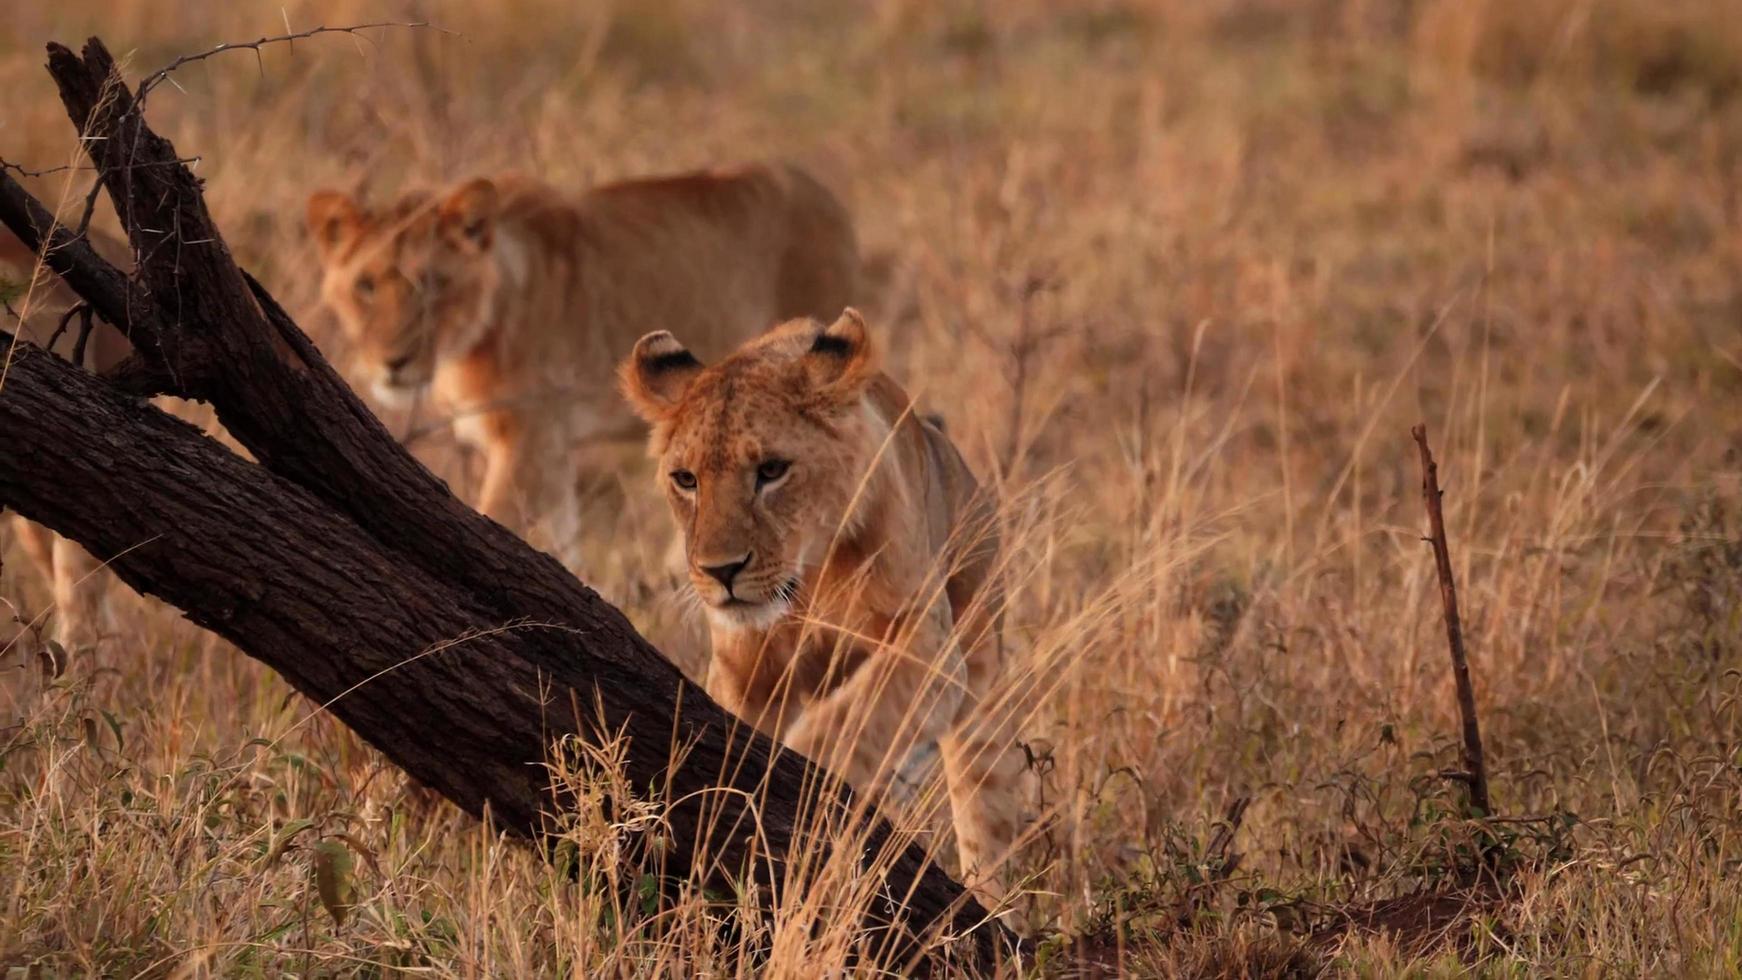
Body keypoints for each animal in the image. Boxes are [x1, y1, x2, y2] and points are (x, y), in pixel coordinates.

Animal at [620, 309, 1024, 898]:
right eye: (686, 480)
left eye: (771, 470)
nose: (721, 571)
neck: (811, 580)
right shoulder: (743, 675)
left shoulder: (928, 646)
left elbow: (856, 717)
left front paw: (803, 779)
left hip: (983, 694)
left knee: (986, 828)